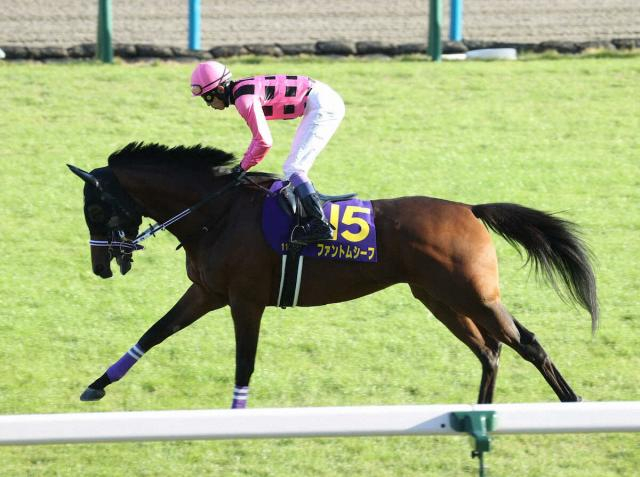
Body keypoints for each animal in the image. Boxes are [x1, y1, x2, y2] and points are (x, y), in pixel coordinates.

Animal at [68, 142, 598, 408]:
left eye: (95, 208)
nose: (99, 266)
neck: (216, 212)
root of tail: (469, 209)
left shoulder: (245, 300)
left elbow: (244, 364)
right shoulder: (207, 291)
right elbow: (154, 333)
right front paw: (97, 384)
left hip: (474, 293)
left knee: (528, 343)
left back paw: (572, 403)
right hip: (439, 298)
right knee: (490, 352)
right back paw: (481, 415)